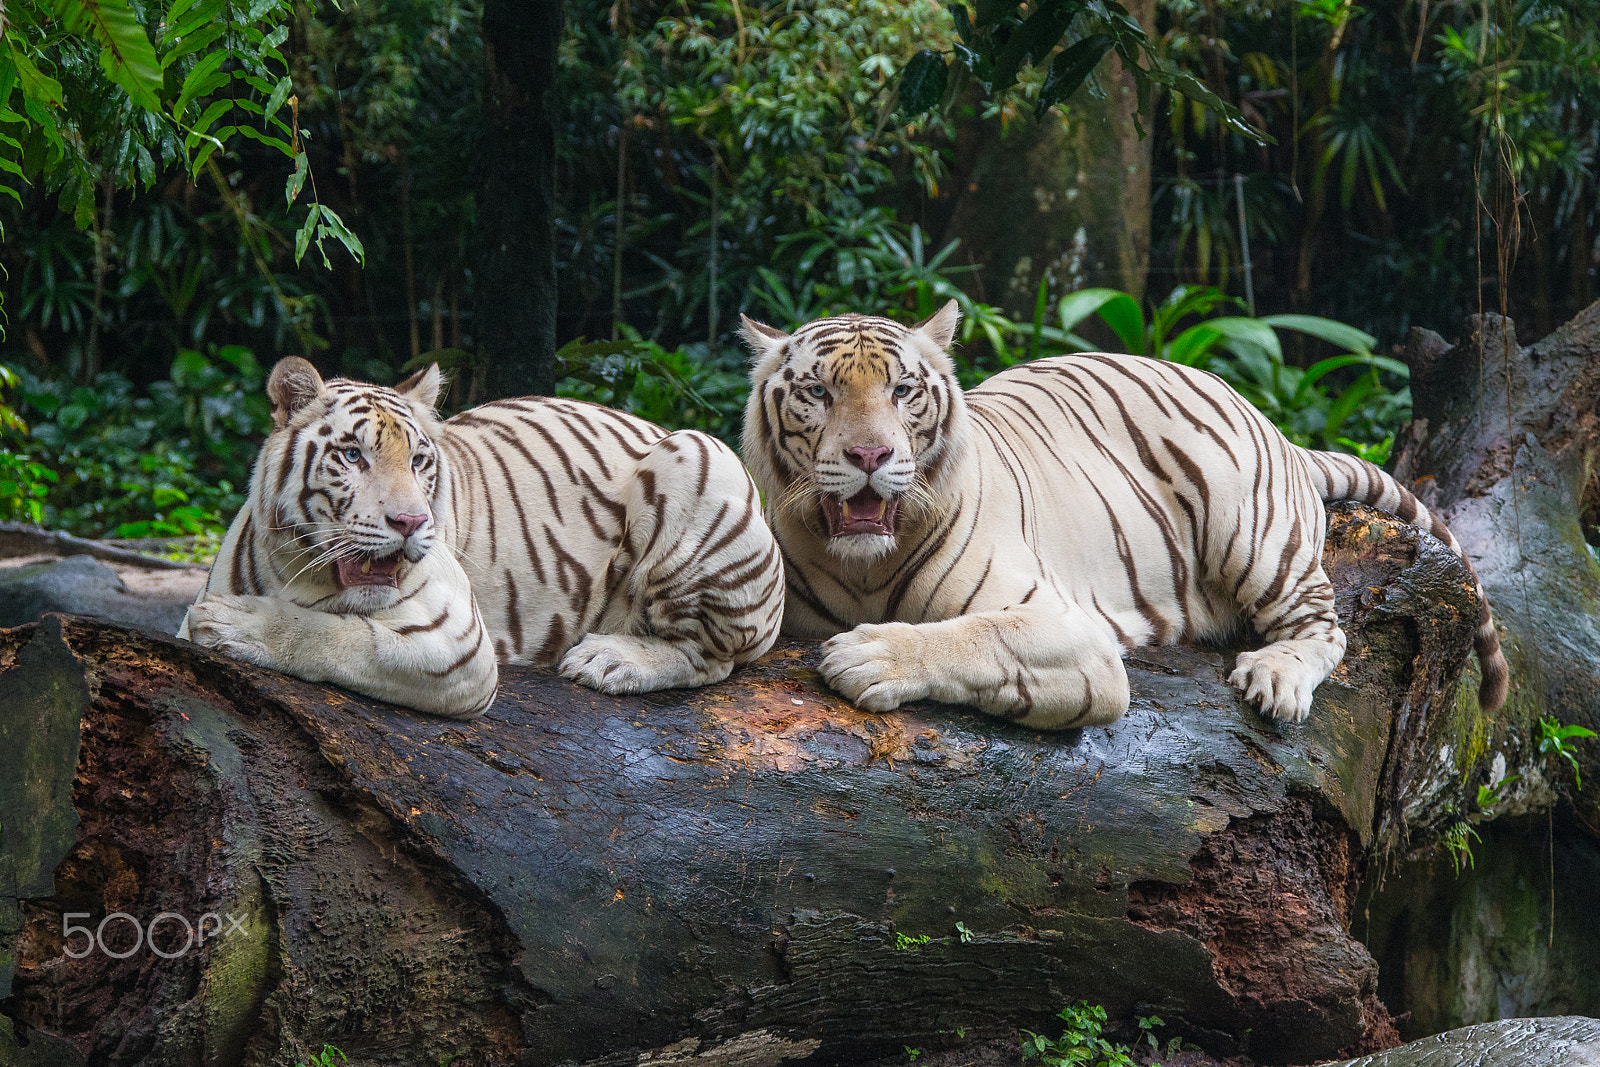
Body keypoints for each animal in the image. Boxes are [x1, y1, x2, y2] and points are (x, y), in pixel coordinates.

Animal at [179, 356, 785, 719]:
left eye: (419, 461)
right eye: (352, 456)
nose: (410, 522)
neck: (298, 573)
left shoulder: (457, 644)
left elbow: (341, 637)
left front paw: (239, 625)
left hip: (697, 455)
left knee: (710, 657)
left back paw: (608, 660)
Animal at [739, 299, 1509, 729]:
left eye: (902, 391)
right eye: (817, 392)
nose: (870, 454)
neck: (864, 568)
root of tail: (1277, 429)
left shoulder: (1070, 633)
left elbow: (976, 637)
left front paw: (868, 654)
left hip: (1252, 533)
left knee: (1326, 626)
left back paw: (1276, 677)